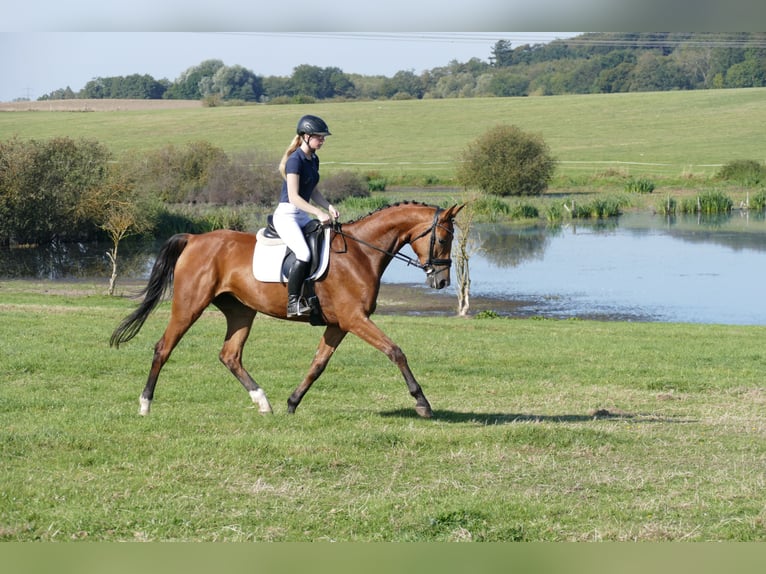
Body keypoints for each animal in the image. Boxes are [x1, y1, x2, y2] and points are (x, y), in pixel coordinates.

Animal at [110, 202, 464, 418]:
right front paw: (422, 403)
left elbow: (318, 364)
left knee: (230, 355)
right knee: (163, 347)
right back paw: (145, 404)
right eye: (443, 239)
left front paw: (292, 403)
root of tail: (195, 238)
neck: (362, 252)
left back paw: (263, 402)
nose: (442, 280)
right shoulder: (354, 318)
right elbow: (395, 351)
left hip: (241, 311)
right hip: (189, 306)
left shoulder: (340, 323)